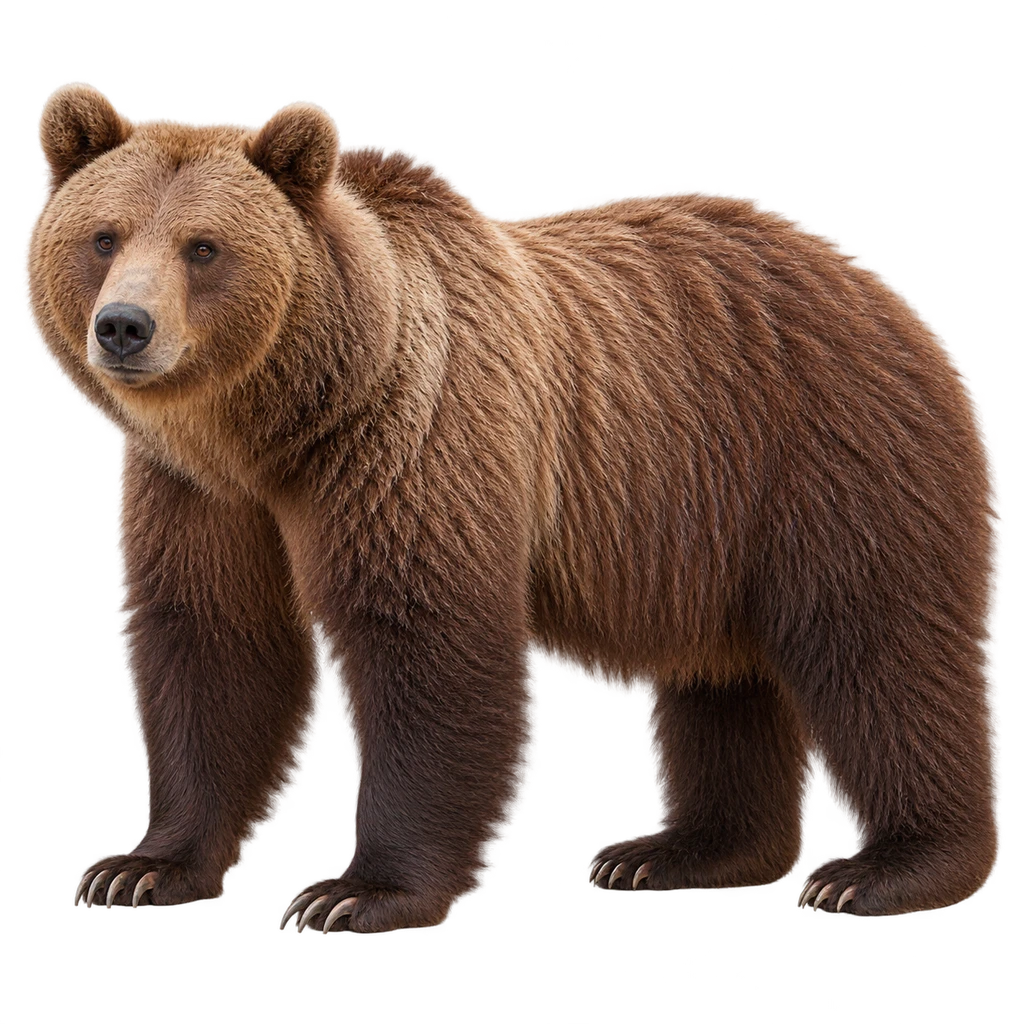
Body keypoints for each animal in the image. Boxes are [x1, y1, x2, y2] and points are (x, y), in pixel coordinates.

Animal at [24, 83, 1002, 932]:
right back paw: (674, 853)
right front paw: (137, 868)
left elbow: (423, 642)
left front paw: (355, 893)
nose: (124, 327)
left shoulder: (412, 441)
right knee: (723, 677)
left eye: (204, 247)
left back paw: (883, 870)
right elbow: (210, 643)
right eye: (105, 236)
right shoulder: (201, 496)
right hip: (710, 517)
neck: (275, 427)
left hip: (827, 451)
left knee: (878, 647)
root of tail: (878, 284)